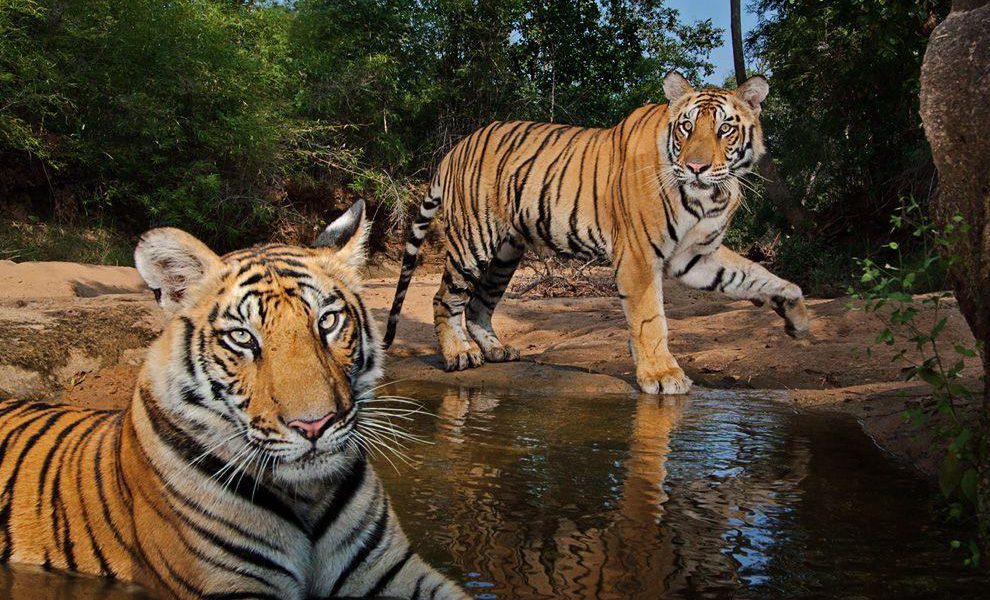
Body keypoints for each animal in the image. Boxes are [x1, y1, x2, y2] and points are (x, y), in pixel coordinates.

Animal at [384, 71, 810, 395]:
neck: (708, 196)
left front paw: (797, 315)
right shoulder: (639, 257)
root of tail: (456, 148)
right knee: (445, 298)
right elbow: (650, 320)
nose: (696, 167)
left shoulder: (696, 256)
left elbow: (756, 274)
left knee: (478, 304)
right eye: (687, 127)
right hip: (474, 242)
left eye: (725, 130)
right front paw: (662, 375)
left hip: (506, 253)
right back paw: (458, 355)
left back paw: (495, 350)